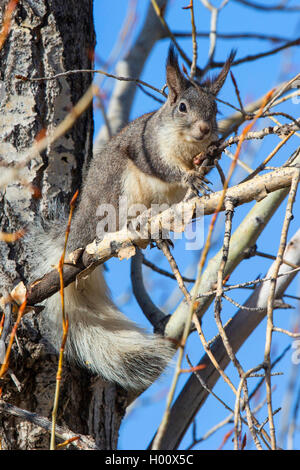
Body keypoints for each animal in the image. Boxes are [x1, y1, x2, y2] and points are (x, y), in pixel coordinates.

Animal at [28, 46, 234, 392]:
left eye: (216, 109)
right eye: (182, 107)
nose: (205, 130)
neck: (186, 146)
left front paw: (208, 160)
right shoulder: (147, 149)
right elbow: (164, 169)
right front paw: (189, 176)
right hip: (118, 187)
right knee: (116, 222)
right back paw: (136, 222)